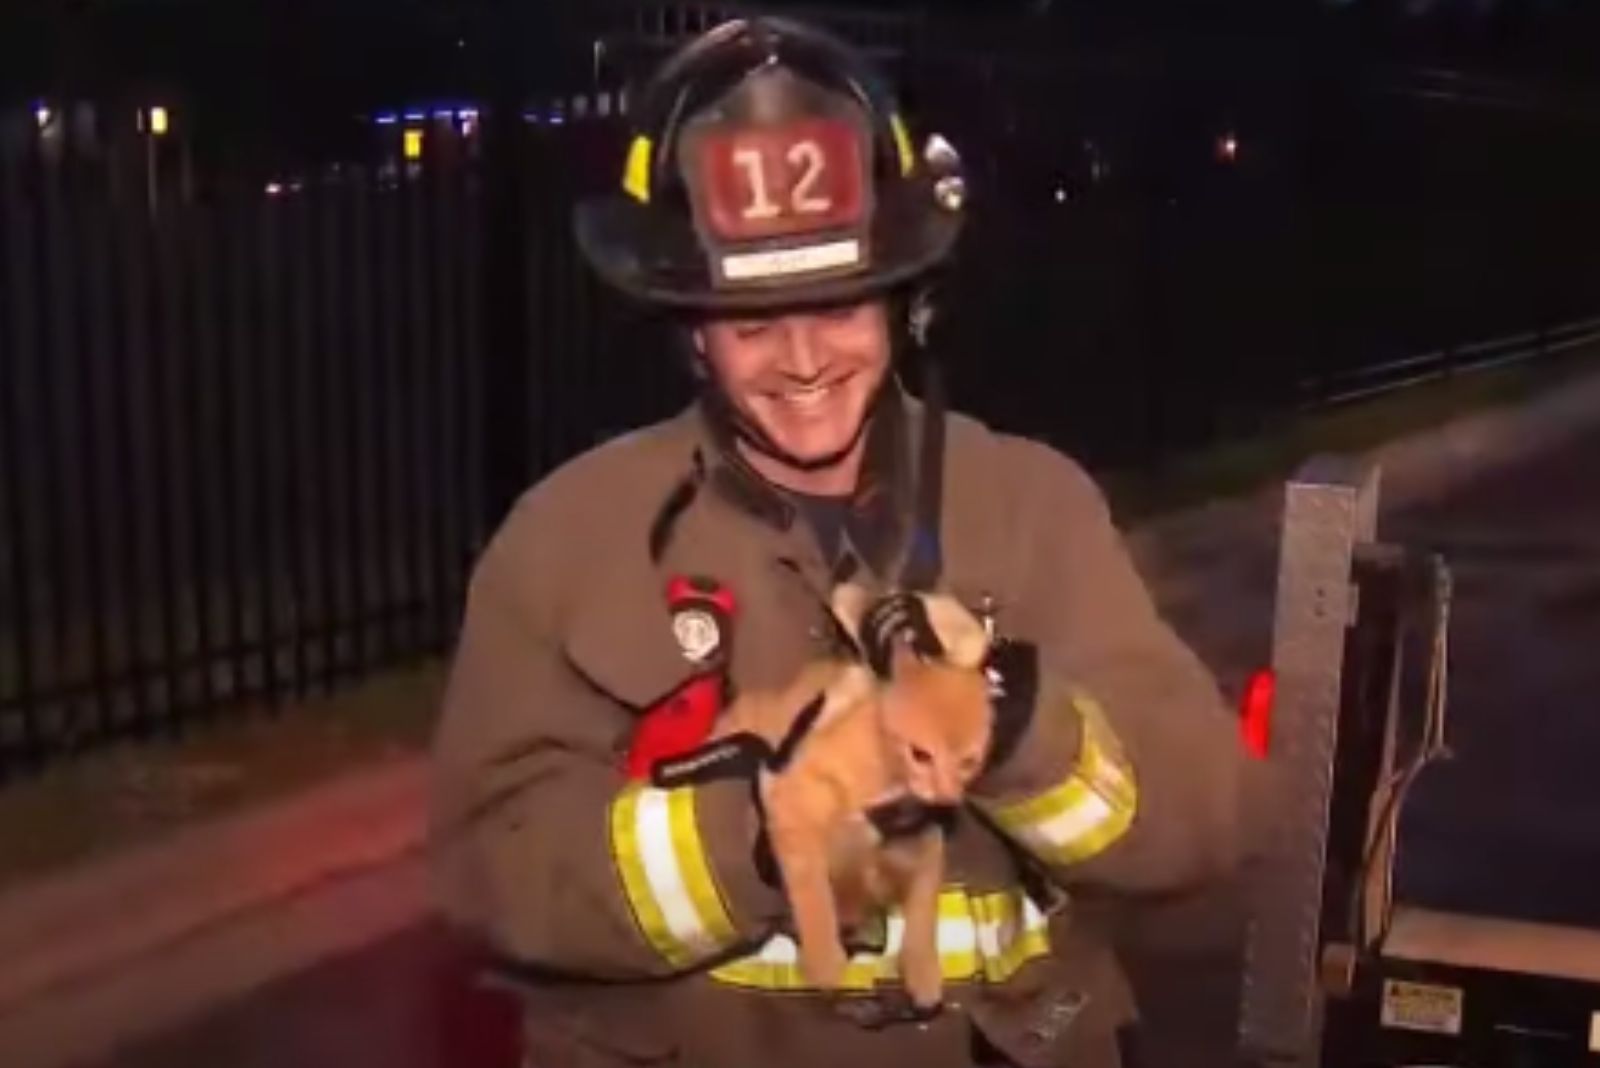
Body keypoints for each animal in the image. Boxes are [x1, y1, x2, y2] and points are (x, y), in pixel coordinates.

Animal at [710, 585, 992, 1010]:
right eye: (920, 754)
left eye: (969, 762)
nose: (946, 795)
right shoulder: (790, 796)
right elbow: (811, 889)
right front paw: (824, 958)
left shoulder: (920, 838)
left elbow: (925, 901)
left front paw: (922, 965)